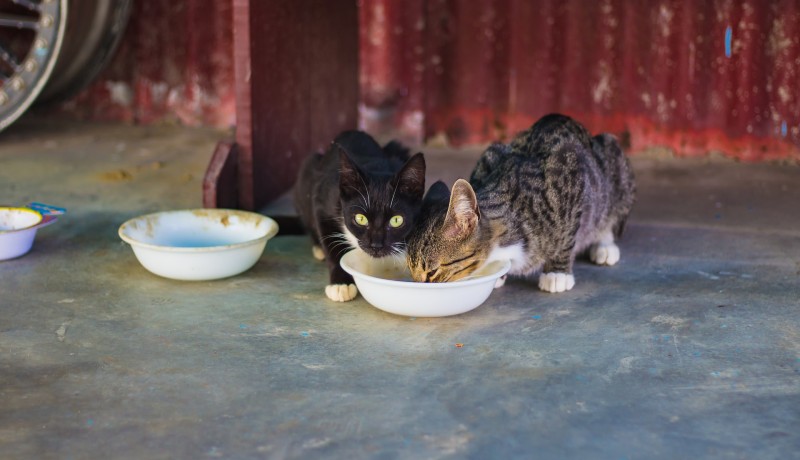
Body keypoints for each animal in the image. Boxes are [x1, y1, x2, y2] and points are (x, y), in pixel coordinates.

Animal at [292, 130, 424, 302]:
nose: (376, 245)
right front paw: (340, 283)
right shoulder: (321, 201)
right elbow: (331, 244)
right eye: (360, 219)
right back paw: (318, 248)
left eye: (396, 220)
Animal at [410, 113, 636, 292]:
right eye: (411, 271)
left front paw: (557, 272)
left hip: (614, 168)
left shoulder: (571, 170)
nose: (418, 286)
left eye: (432, 272)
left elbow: (567, 236)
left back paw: (604, 244)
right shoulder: (488, 156)